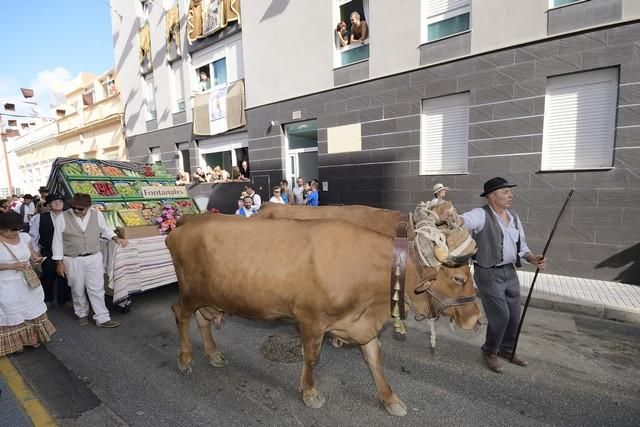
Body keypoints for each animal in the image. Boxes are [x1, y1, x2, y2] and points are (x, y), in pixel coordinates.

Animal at [168, 216, 478, 416]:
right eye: (459, 278)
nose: (476, 320)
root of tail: (185, 223)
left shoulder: (361, 323)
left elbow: (375, 359)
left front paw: (390, 399)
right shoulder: (311, 319)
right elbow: (312, 358)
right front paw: (309, 393)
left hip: (210, 296)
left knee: (202, 319)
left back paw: (213, 355)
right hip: (191, 292)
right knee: (180, 314)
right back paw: (185, 359)